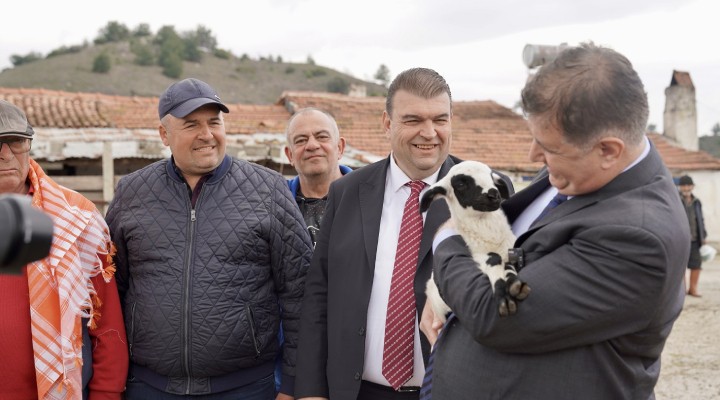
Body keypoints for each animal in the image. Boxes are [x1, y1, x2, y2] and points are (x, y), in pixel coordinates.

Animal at [420, 159, 532, 318]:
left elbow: (508, 266)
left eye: (491, 177)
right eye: (460, 184)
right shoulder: (477, 254)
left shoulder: (509, 250)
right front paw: (503, 295)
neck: (490, 236)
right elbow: (494, 259)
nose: (493, 194)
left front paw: (515, 285)